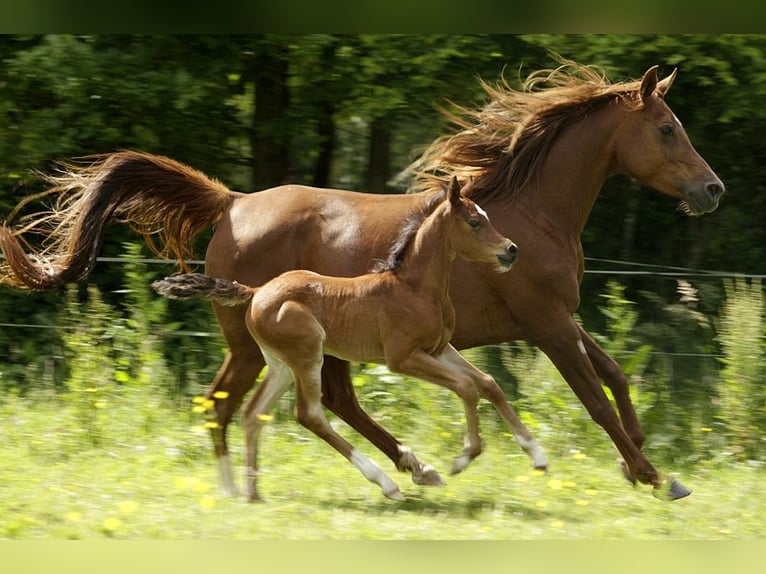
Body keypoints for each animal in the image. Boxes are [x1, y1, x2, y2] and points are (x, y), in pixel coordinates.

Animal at [152, 178, 544, 502]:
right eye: (475, 222)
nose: (511, 249)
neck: (413, 288)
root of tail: (256, 291)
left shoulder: (438, 349)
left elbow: (487, 382)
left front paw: (537, 455)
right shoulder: (403, 358)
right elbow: (466, 387)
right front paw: (464, 458)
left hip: (279, 363)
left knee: (253, 412)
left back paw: (252, 492)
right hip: (308, 353)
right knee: (309, 414)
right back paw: (387, 483)